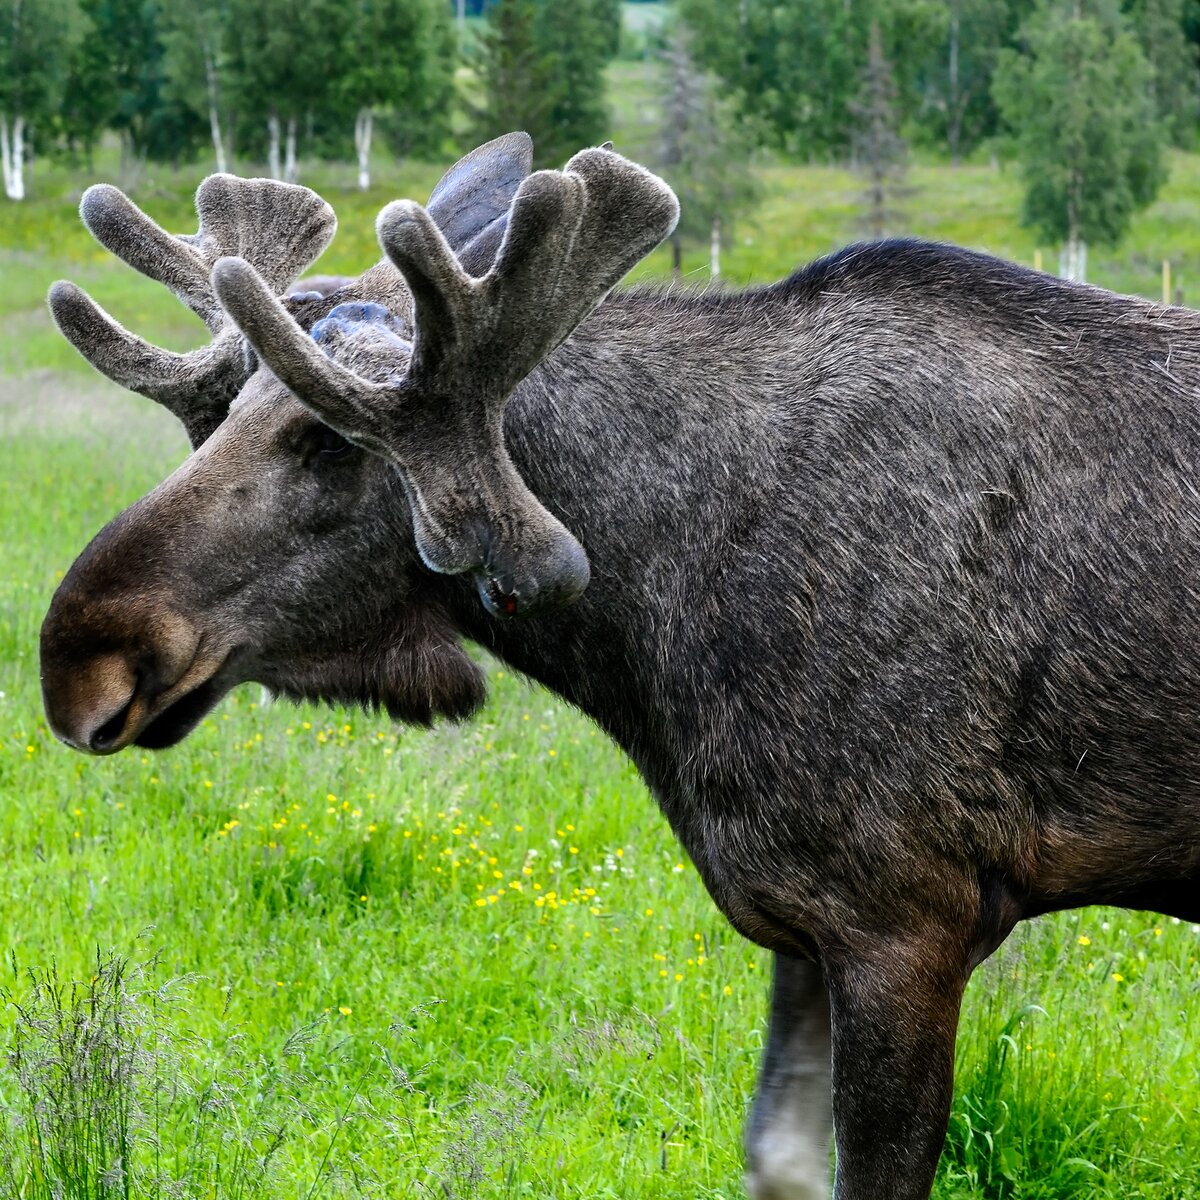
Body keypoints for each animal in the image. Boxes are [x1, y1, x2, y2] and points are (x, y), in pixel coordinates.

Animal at [37, 136, 1200, 1195]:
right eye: (226, 413)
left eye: (329, 442)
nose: (78, 658)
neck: (656, 633)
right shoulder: (805, 919)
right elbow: (776, 1159)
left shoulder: (907, 921)